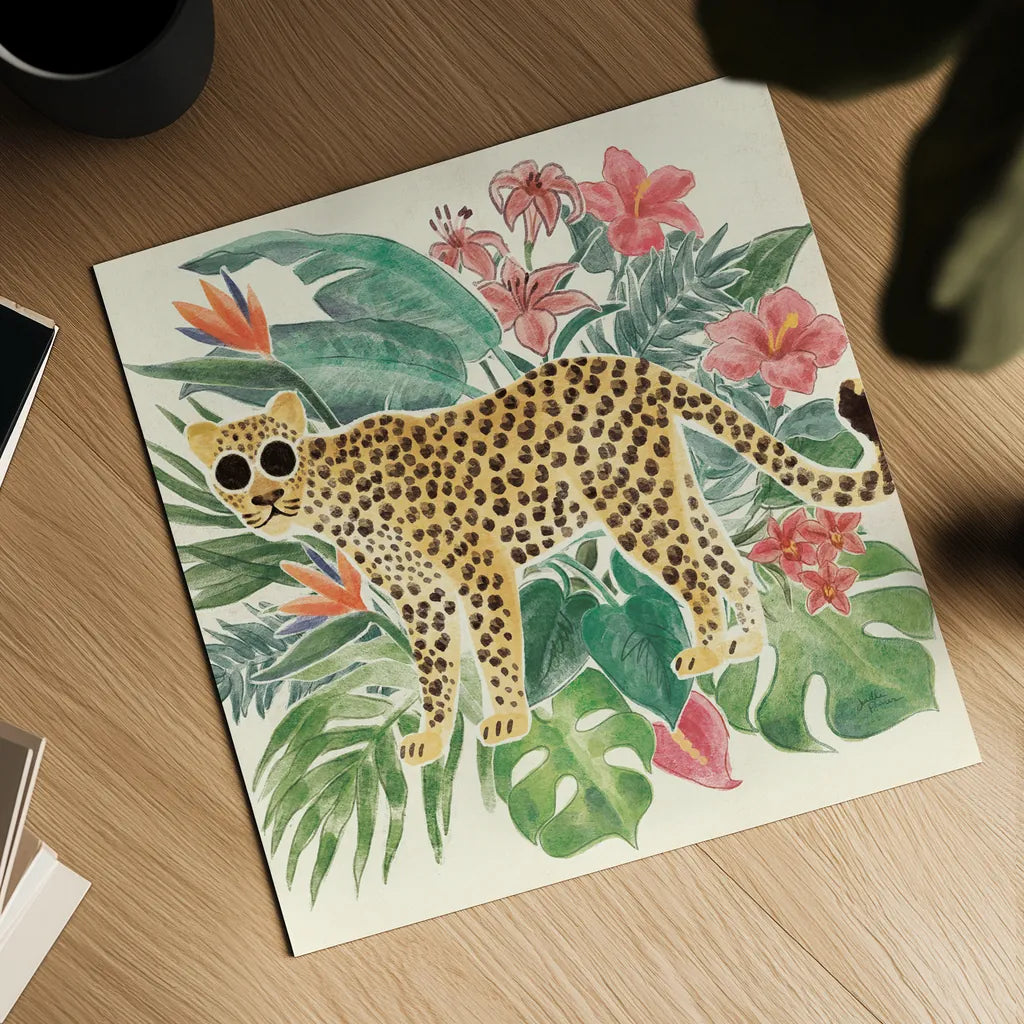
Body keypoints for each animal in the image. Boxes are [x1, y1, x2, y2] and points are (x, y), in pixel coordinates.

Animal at [186, 356, 893, 767]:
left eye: (277, 457)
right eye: (232, 471)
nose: (264, 500)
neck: (332, 497)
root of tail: (635, 365)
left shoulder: (478, 569)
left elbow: (496, 650)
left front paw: (506, 718)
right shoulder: (420, 599)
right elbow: (435, 673)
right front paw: (433, 738)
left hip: (632, 503)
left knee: (693, 574)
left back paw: (709, 650)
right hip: (672, 489)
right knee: (726, 561)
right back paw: (742, 645)